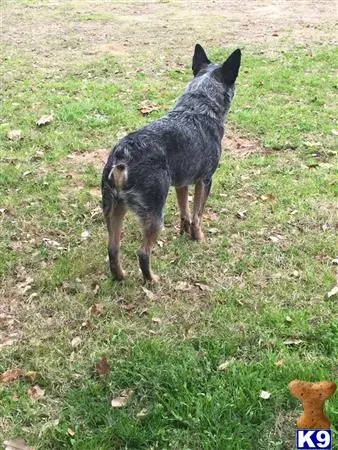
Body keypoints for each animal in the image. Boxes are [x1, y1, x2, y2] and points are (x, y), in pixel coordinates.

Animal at [101, 43, 242, 282]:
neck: (198, 108)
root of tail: (122, 158)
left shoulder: (181, 183)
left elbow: (185, 212)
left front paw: (183, 232)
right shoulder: (205, 180)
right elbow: (197, 215)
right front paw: (197, 237)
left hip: (114, 210)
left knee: (113, 249)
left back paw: (120, 276)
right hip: (155, 215)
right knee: (143, 253)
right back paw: (153, 281)